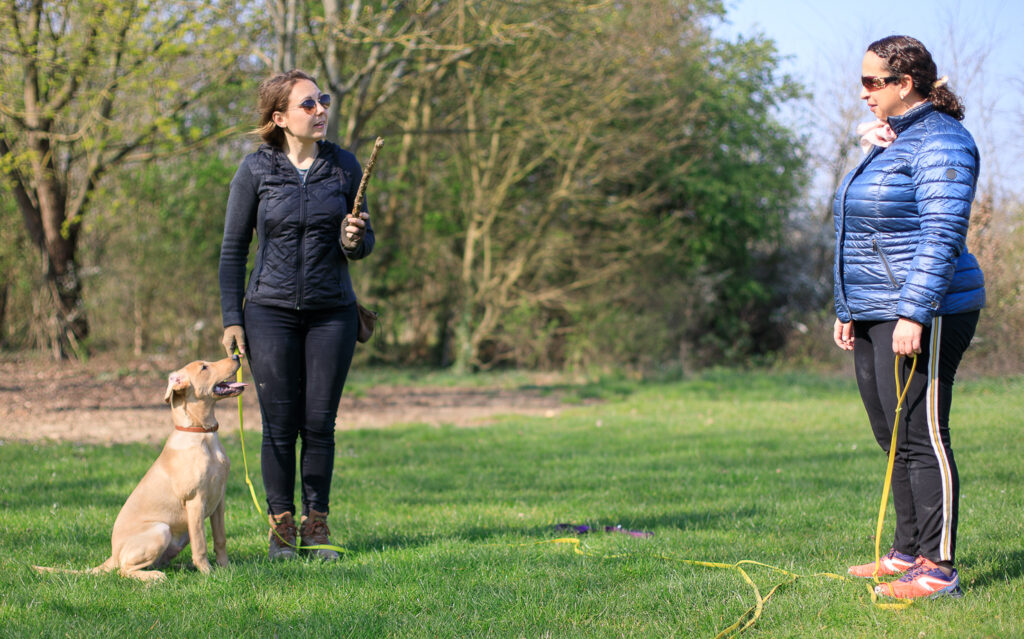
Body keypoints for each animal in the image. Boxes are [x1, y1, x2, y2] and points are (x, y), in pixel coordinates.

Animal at [34, 356, 245, 581]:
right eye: (204, 367)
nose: (236, 356)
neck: (201, 433)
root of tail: (113, 554)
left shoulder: (219, 499)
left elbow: (220, 538)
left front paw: (225, 568)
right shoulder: (195, 500)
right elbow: (201, 544)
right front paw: (208, 573)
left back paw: (180, 567)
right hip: (161, 530)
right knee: (124, 570)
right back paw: (155, 576)